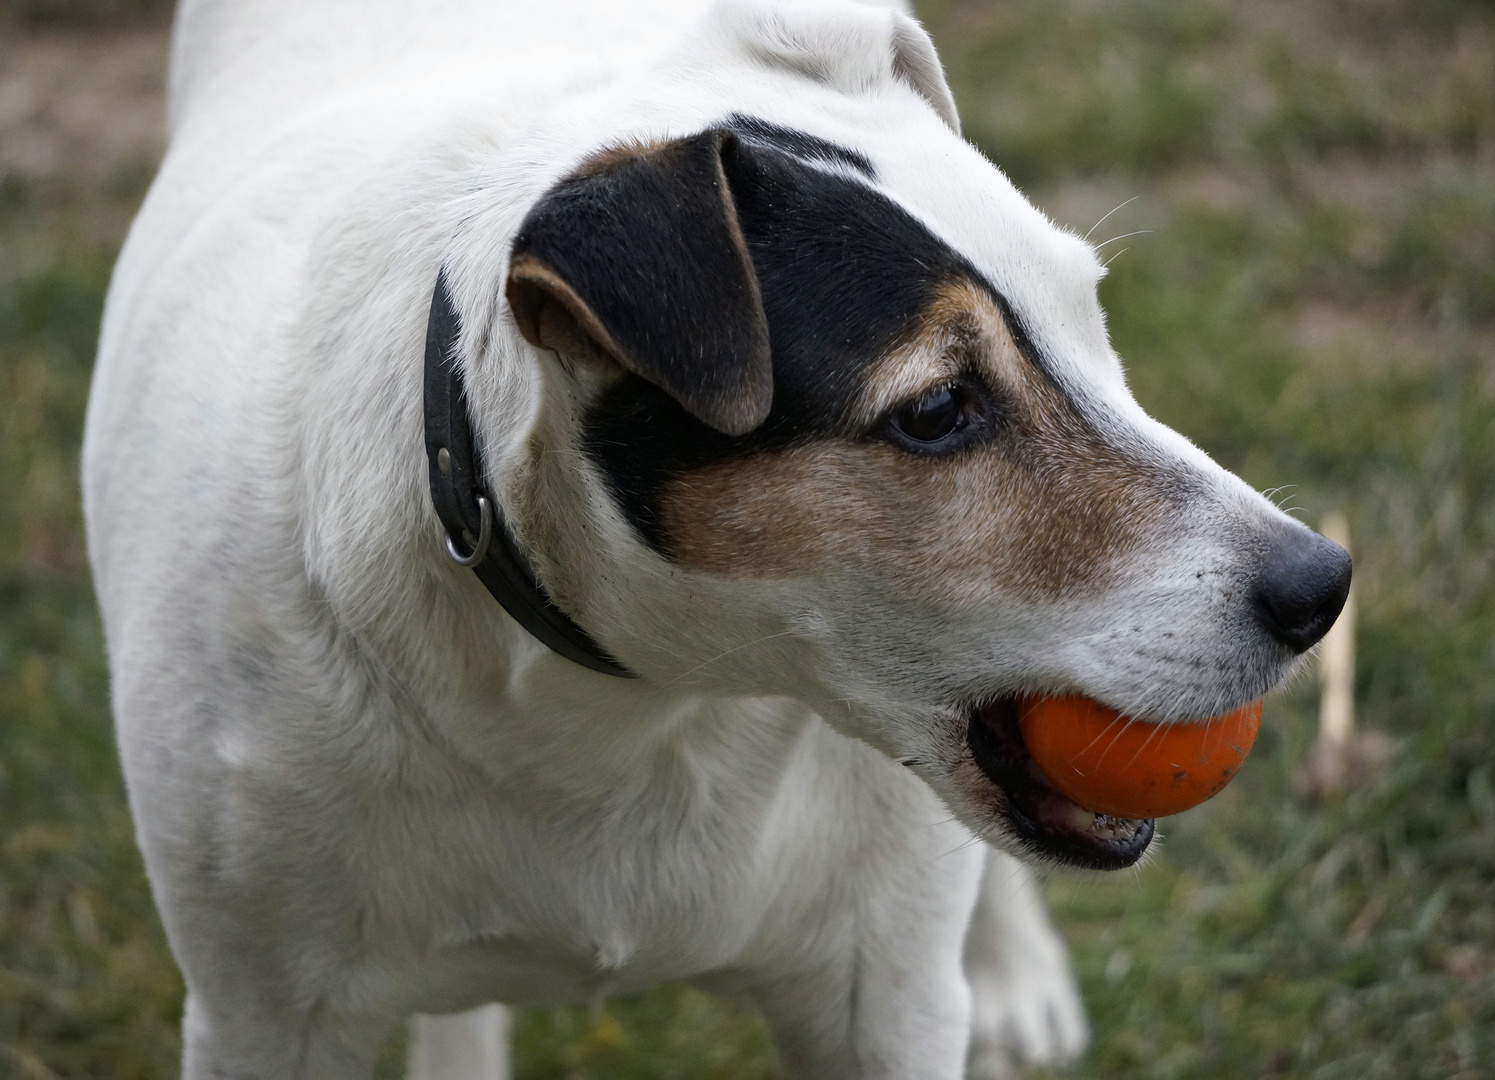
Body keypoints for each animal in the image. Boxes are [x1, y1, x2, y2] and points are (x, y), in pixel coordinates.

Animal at [84, 0, 1357, 1071]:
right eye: (936, 409)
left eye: (1091, 324)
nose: (1322, 584)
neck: (629, 708)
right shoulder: (265, 1012)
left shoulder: (883, 1000)